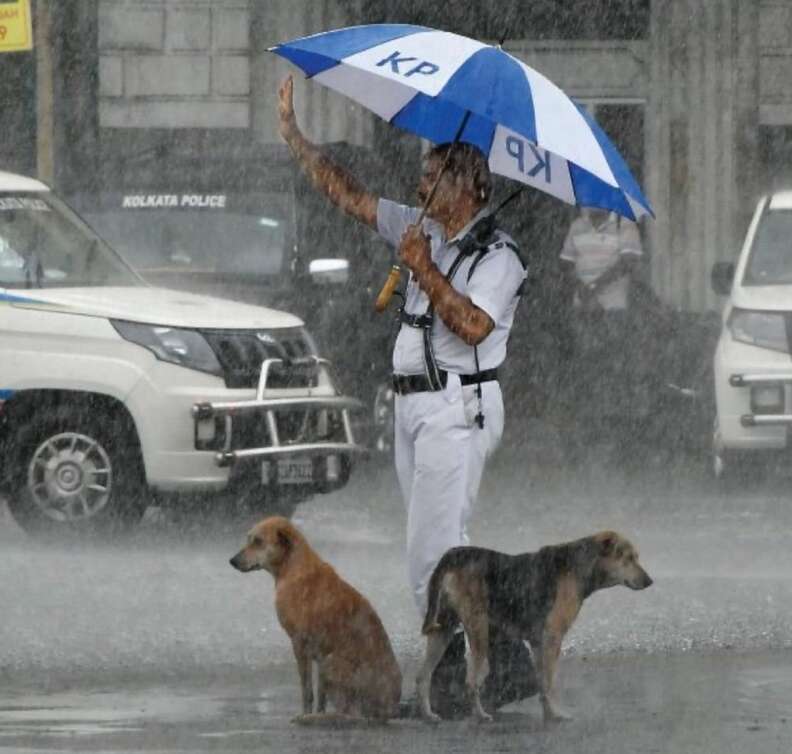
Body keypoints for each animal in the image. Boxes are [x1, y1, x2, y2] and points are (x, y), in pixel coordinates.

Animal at [229, 516, 402, 720]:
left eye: (258, 541)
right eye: (249, 539)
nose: (232, 561)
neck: (292, 567)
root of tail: (389, 709)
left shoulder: (299, 643)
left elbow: (307, 690)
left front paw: (305, 714)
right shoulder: (318, 653)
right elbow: (321, 695)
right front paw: (317, 712)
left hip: (331, 663)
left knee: (350, 712)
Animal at [414, 524, 648, 724]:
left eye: (636, 557)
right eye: (628, 558)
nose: (649, 581)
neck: (580, 565)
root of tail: (453, 555)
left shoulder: (537, 642)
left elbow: (542, 682)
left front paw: (548, 713)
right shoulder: (553, 637)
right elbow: (550, 682)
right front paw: (557, 715)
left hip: (443, 629)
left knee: (423, 677)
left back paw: (428, 715)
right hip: (479, 629)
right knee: (471, 682)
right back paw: (480, 715)